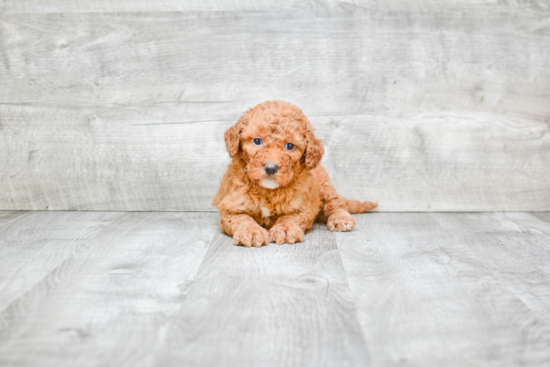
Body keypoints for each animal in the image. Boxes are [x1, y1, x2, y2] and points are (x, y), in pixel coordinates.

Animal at [213, 100, 378, 247]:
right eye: (257, 141)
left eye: (290, 146)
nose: (271, 167)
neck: (268, 191)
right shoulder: (231, 205)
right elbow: (241, 219)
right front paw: (250, 231)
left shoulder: (303, 204)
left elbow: (291, 217)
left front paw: (285, 229)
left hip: (324, 185)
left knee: (335, 203)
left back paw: (341, 218)